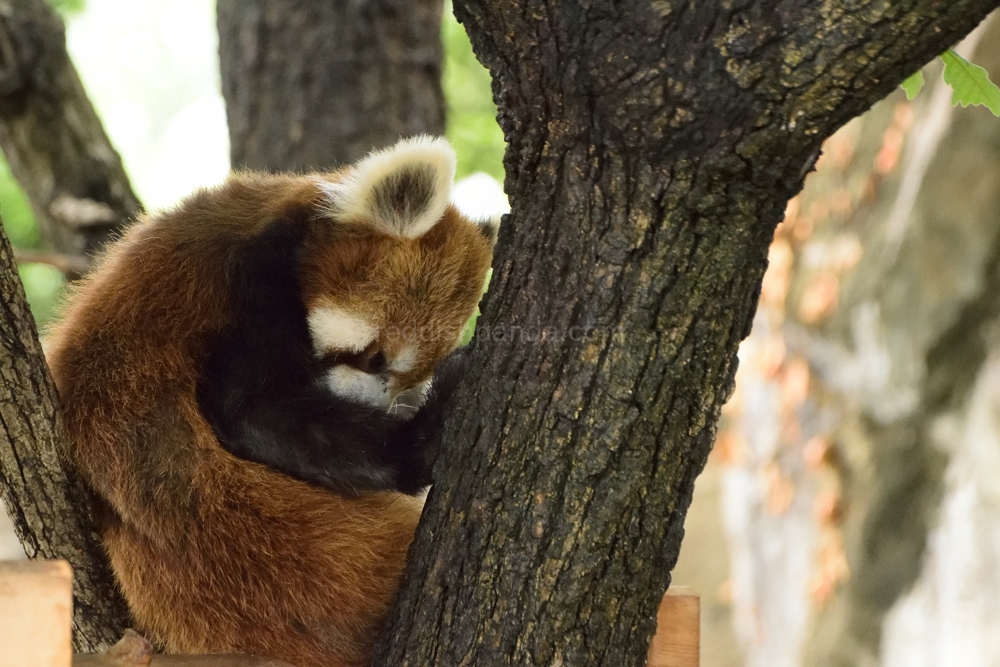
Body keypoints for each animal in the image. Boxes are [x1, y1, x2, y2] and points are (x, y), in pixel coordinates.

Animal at [45, 137, 498, 667]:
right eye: (373, 357)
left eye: (408, 380)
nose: (375, 407)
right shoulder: (249, 282)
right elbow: (249, 410)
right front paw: (421, 437)